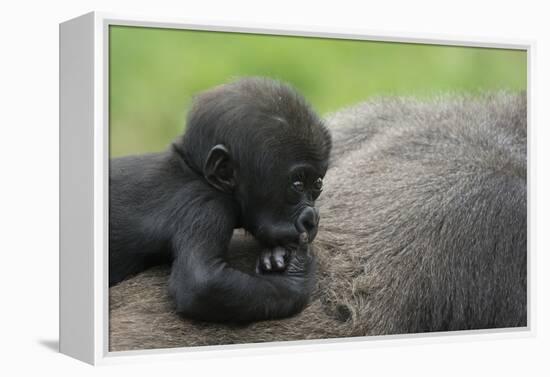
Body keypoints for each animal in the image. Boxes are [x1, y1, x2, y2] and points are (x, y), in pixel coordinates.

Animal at [108, 78, 332, 322]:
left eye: (317, 184)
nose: (311, 220)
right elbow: (202, 283)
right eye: (297, 185)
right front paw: (295, 279)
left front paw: (276, 257)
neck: (194, 170)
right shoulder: (207, 205)